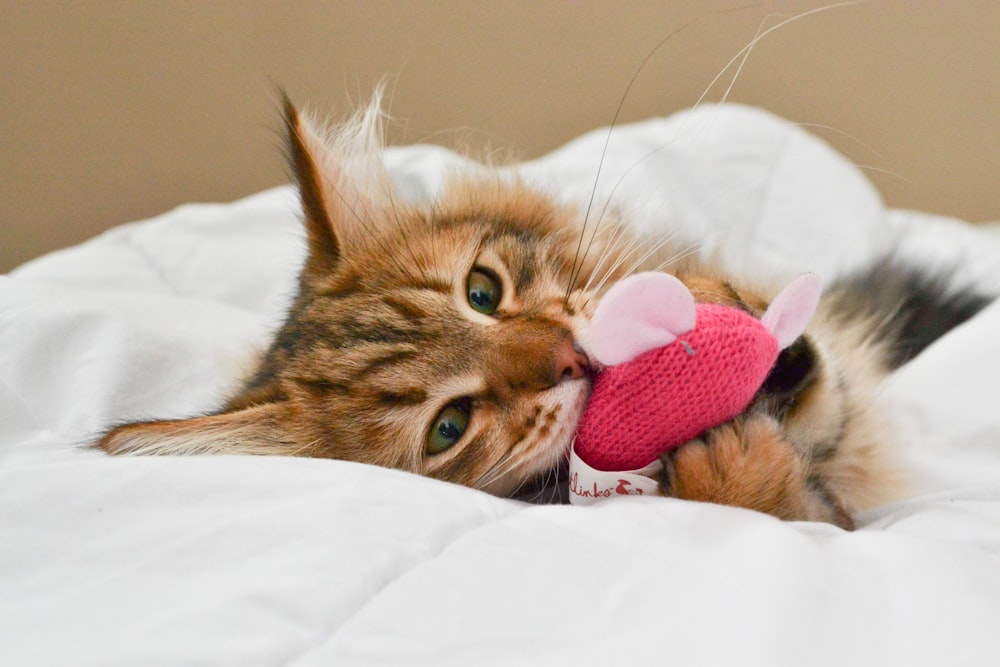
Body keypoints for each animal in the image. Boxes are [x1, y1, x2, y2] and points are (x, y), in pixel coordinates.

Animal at [95, 94, 992, 532]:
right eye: (448, 427)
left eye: (483, 291)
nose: (568, 355)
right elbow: (786, 502)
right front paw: (734, 466)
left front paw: (722, 303)